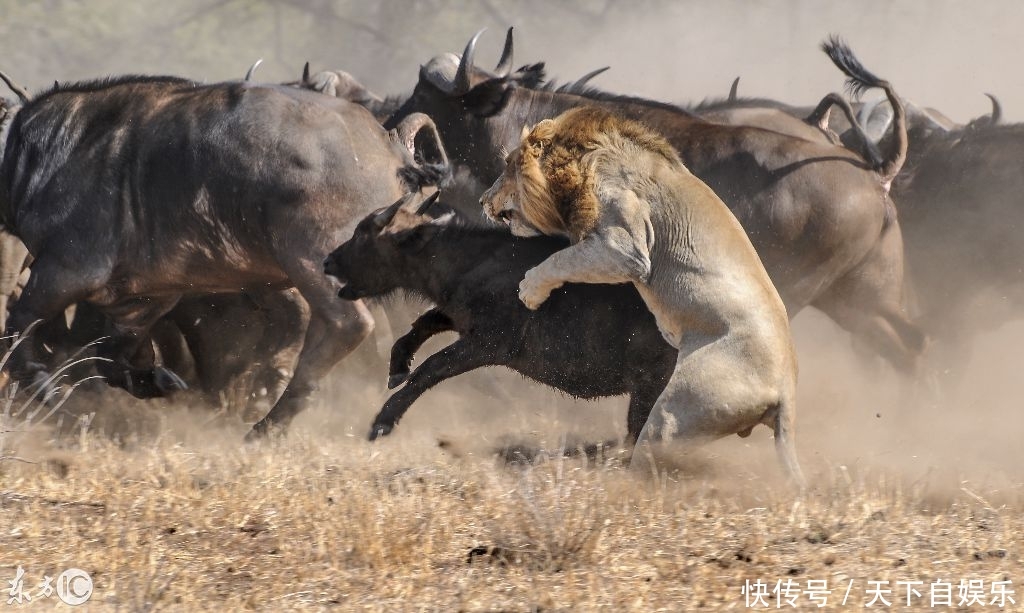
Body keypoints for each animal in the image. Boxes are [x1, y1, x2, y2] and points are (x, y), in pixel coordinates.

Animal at [0, 73, 448, 435]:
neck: (38, 154)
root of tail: (391, 148)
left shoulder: (64, 269)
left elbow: (19, 328)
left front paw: (48, 390)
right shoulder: (145, 299)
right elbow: (112, 356)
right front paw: (156, 380)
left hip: (312, 262)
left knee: (346, 326)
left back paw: (269, 424)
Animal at [323, 194, 675, 444]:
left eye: (363, 235)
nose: (328, 261)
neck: (471, 261)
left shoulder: (485, 345)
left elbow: (429, 369)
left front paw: (382, 422)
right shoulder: (458, 315)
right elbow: (420, 326)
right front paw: (397, 367)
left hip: (648, 387)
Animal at [385, 31, 929, 376]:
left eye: (424, 94)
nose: (391, 121)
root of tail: (874, 174)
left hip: (799, 290)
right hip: (861, 297)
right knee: (911, 345)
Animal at [479, 107, 806, 487]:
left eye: (508, 165)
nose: (482, 201)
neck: (584, 161)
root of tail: (787, 388)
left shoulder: (625, 249)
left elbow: (561, 259)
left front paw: (529, 290)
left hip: (674, 413)